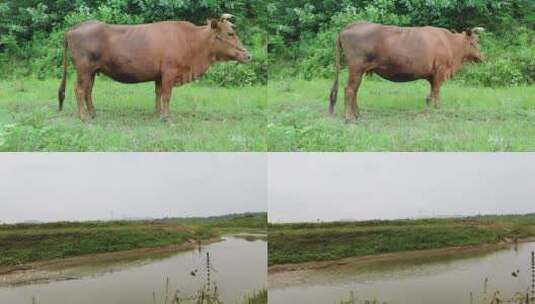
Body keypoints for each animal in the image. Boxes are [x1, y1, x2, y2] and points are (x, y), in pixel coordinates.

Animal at [58, 14, 251, 120]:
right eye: (230, 33)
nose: (248, 55)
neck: (190, 42)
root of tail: (75, 27)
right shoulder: (170, 72)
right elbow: (167, 95)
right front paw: (167, 117)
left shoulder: (159, 75)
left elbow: (158, 94)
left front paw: (158, 114)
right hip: (83, 68)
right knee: (79, 90)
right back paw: (84, 117)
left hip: (92, 71)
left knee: (88, 90)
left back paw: (93, 113)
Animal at [328, 21, 488, 122]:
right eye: (476, 41)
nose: (483, 57)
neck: (450, 43)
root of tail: (351, 26)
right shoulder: (440, 71)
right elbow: (436, 92)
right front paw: (438, 109)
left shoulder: (432, 75)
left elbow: (431, 93)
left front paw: (428, 108)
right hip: (356, 68)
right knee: (349, 89)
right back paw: (349, 118)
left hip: (359, 70)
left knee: (354, 90)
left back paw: (357, 115)